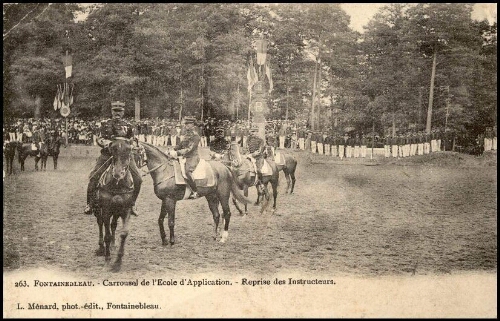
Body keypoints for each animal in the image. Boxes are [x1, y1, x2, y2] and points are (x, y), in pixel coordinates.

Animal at [91, 136, 135, 272]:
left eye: (129, 150)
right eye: (112, 150)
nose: (118, 174)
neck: (118, 185)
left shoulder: (126, 210)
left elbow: (123, 233)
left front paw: (118, 262)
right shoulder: (105, 210)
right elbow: (107, 235)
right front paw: (107, 260)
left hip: (116, 212)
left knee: (113, 225)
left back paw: (113, 246)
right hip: (98, 210)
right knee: (100, 224)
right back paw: (101, 248)